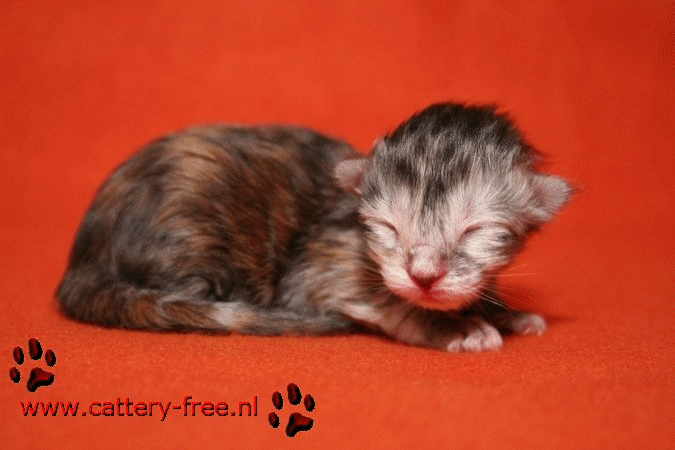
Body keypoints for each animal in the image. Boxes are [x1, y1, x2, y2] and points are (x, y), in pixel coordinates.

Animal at [57, 102, 572, 352]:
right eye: (389, 228)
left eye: (473, 231)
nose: (424, 276)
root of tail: (83, 258)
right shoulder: (322, 264)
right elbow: (391, 303)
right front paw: (455, 327)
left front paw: (504, 312)